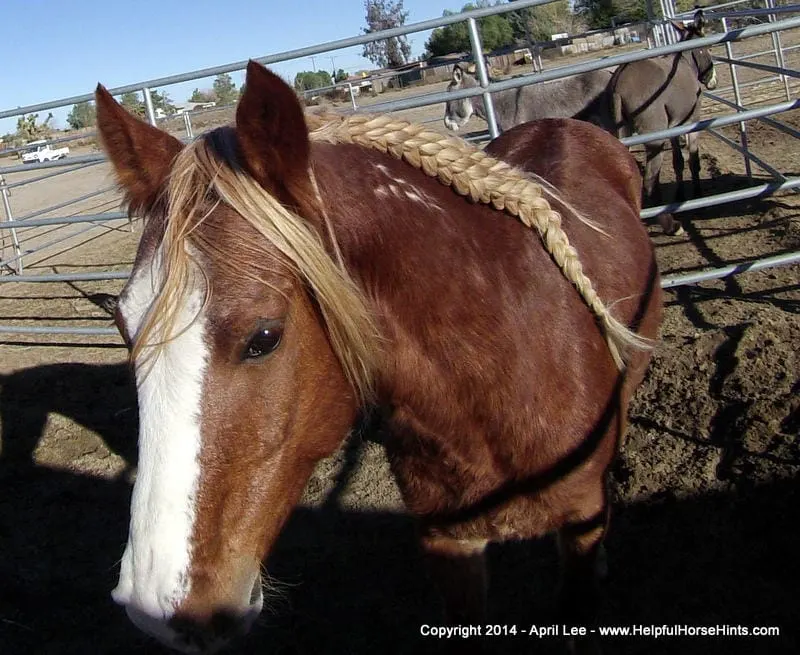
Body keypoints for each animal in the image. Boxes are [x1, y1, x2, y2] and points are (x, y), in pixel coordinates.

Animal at [612, 10, 720, 236]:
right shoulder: (692, 122)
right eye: (709, 48)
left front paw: (680, 196)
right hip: (654, 138)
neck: (685, 62)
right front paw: (699, 197)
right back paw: (670, 225)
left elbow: (678, 161)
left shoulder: (673, 128)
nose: (713, 82)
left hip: (624, 133)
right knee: (650, 178)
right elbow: (693, 160)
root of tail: (619, 82)